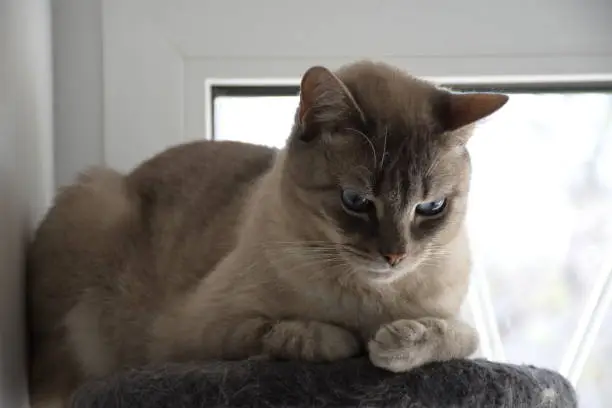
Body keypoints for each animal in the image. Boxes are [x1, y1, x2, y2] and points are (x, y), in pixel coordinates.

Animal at [27, 59, 506, 404]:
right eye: (355, 201)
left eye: (431, 208)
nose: (395, 256)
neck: (369, 299)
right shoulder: (193, 332)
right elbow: (285, 333)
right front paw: (348, 340)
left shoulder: (461, 325)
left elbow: (453, 337)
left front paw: (398, 341)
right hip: (95, 205)